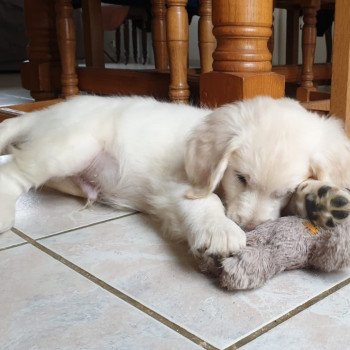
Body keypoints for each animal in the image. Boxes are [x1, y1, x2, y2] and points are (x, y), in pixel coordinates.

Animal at [0, 95, 350, 260]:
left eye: (284, 191)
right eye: (240, 178)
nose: (251, 227)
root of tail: (48, 111)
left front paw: (321, 198)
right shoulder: (177, 184)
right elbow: (206, 200)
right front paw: (221, 231)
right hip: (73, 145)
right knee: (14, 170)